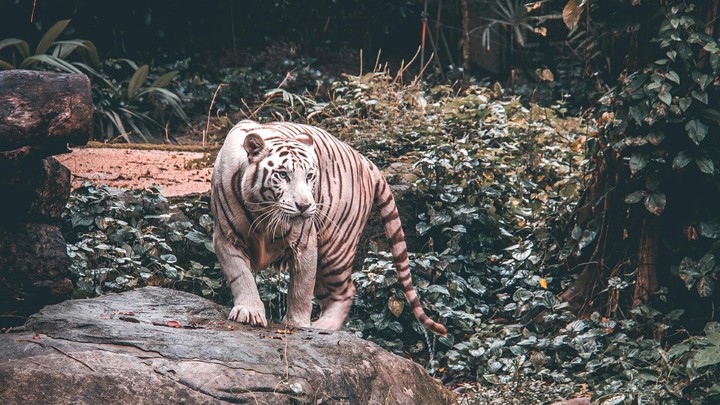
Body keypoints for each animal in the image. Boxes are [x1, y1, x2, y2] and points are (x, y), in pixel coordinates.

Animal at [210, 120, 447, 336]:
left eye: (309, 176)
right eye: (283, 174)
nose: (304, 206)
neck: (264, 212)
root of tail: (363, 158)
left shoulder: (305, 243)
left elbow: (301, 288)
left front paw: (297, 324)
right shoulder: (226, 238)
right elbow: (241, 276)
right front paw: (249, 312)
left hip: (336, 248)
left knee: (346, 291)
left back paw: (323, 327)